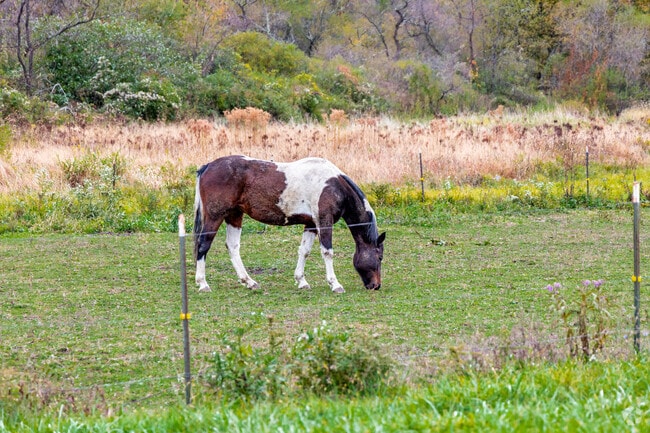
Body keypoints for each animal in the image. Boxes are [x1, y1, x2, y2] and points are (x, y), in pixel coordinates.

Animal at [193, 155, 385, 293]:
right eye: (380, 257)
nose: (376, 286)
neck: (334, 185)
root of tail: (207, 166)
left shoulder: (311, 224)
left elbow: (304, 251)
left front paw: (301, 281)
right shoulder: (324, 221)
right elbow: (327, 252)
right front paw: (335, 284)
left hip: (234, 216)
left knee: (233, 247)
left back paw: (249, 282)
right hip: (215, 217)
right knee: (203, 245)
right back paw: (203, 284)